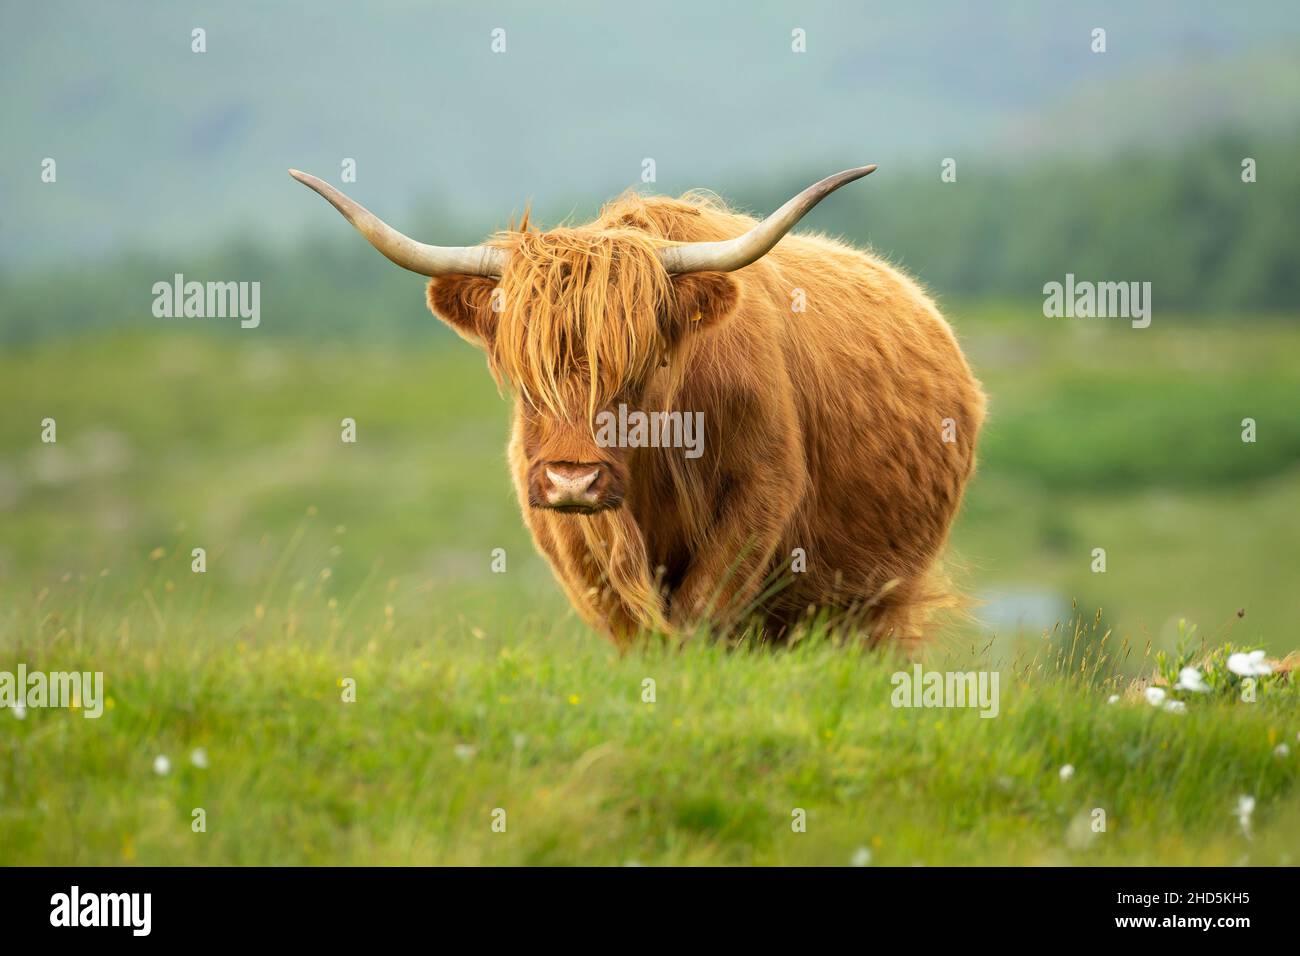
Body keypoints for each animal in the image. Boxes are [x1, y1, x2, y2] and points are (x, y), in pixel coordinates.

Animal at [290, 166, 986, 646]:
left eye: (639, 368)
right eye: (524, 374)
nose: (573, 479)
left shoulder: (761, 497)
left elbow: (700, 615)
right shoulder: (581, 546)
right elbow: (637, 626)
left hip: (881, 595)